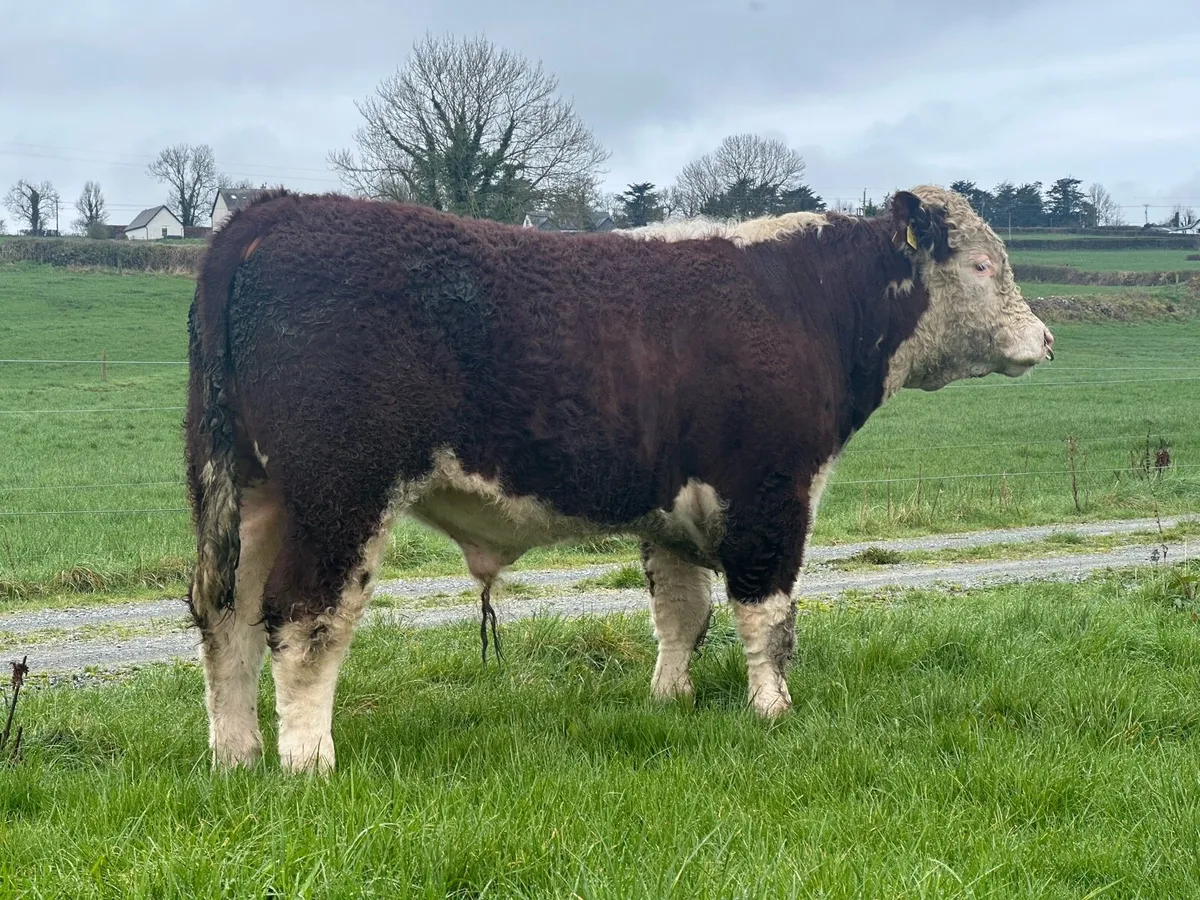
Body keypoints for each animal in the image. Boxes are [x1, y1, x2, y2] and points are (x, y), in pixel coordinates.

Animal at [185, 185, 1053, 774]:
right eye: (984, 264)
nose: (1045, 340)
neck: (808, 299)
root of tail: (277, 210)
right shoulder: (772, 492)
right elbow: (767, 614)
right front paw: (772, 710)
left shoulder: (671, 509)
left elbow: (682, 614)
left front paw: (671, 701)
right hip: (341, 491)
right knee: (304, 617)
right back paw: (307, 761)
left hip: (251, 491)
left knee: (226, 618)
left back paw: (237, 755)